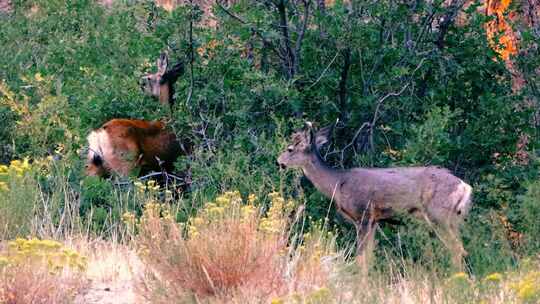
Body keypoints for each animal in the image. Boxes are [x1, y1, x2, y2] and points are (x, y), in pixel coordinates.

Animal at [278, 121, 472, 268]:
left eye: (290, 149)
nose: (279, 162)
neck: (337, 183)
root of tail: (465, 187)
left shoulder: (363, 215)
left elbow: (361, 258)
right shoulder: (374, 221)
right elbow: (369, 258)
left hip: (438, 215)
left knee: (456, 249)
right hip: (454, 219)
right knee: (460, 248)